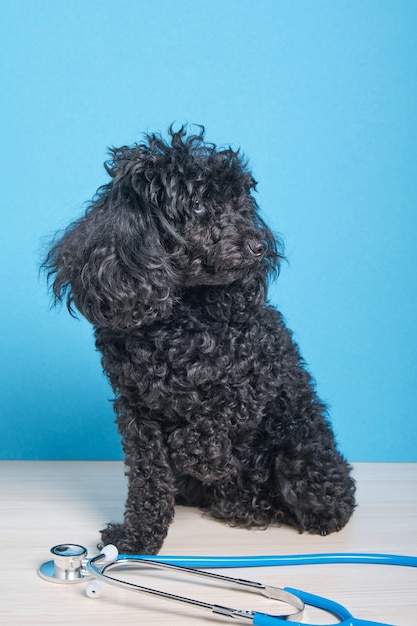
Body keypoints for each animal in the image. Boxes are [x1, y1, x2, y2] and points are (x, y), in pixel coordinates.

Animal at [44, 125, 356, 552]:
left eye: (241, 205)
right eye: (196, 207)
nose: (259, 246)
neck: (179, 322)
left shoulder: (255, 378)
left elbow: (206, 423)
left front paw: (201, 455)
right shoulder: (135, 408)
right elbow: (149, 478)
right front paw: (138, 537)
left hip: (300, 453)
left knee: (331, 502)